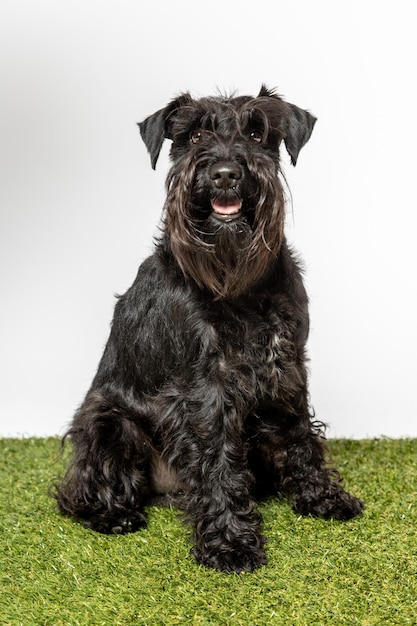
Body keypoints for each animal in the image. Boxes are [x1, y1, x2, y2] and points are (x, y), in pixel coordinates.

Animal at [57, 84, 362, 572]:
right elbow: (217, 459)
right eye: (196, 135)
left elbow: (300, 434)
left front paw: (323, 497)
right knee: (81, 488)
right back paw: (113, 514)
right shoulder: (206, 386)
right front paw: (230, 543)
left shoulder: (288, 366)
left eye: (257, 132)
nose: (223, 174)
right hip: (107, 421)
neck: (239, 283)